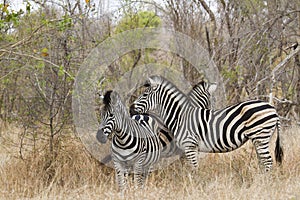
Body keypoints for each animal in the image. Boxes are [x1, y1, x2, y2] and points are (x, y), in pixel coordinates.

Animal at [131, 75, 284, 172]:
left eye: (144, 95)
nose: (131, 108)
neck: (180, 116)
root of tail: (273, 109)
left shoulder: (189, 146)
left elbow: (194, 169)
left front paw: (194, 186)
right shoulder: (188, 149)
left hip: (260, 136)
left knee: (267, 161)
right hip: (259, 138)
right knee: (263, 161)